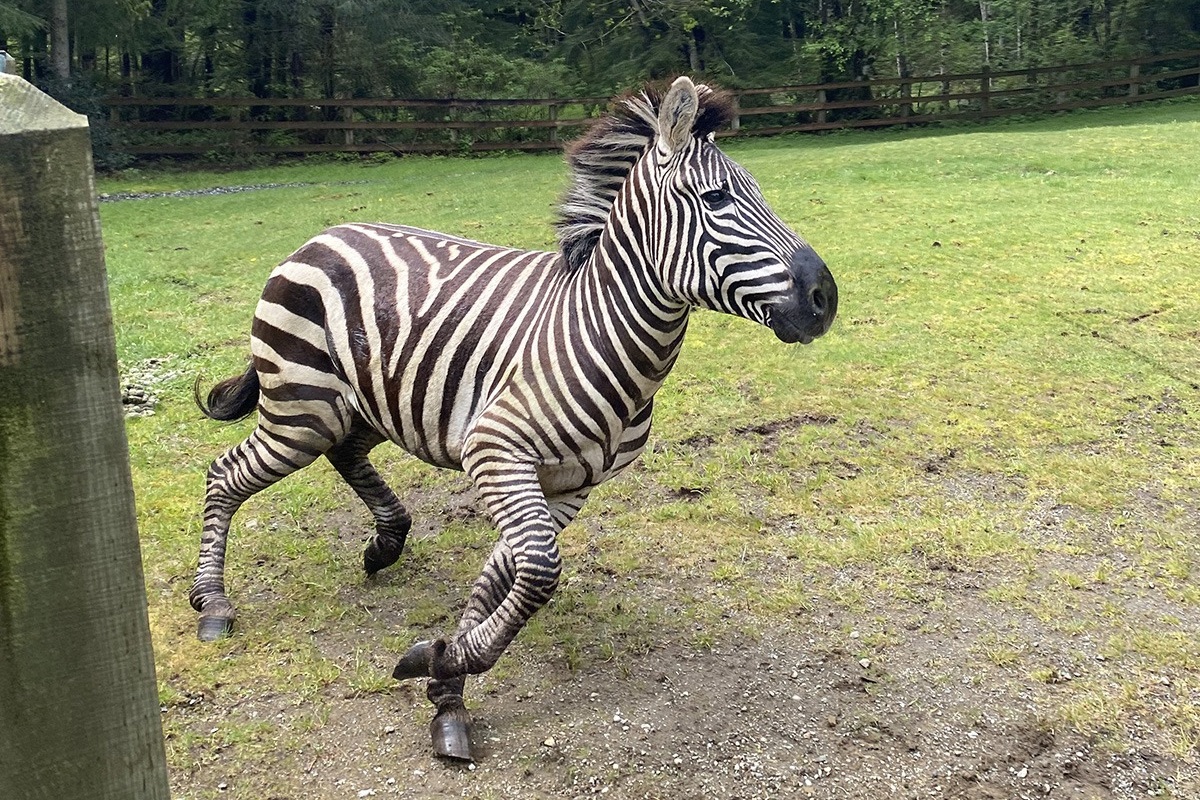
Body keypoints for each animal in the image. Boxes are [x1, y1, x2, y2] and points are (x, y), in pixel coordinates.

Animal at [191, 76, 837, 761]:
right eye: (717, 199)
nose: (825, 297)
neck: (602, 330)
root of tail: (318, 238)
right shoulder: (495, 451)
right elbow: (540, 569)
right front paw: (443, 665)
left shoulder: (571, 484)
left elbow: (511, 569)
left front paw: (446, 677)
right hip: (300, 407)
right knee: (224, 475)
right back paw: (213, 603)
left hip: (365, 401)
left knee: (344, 453)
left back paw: (384, 545)